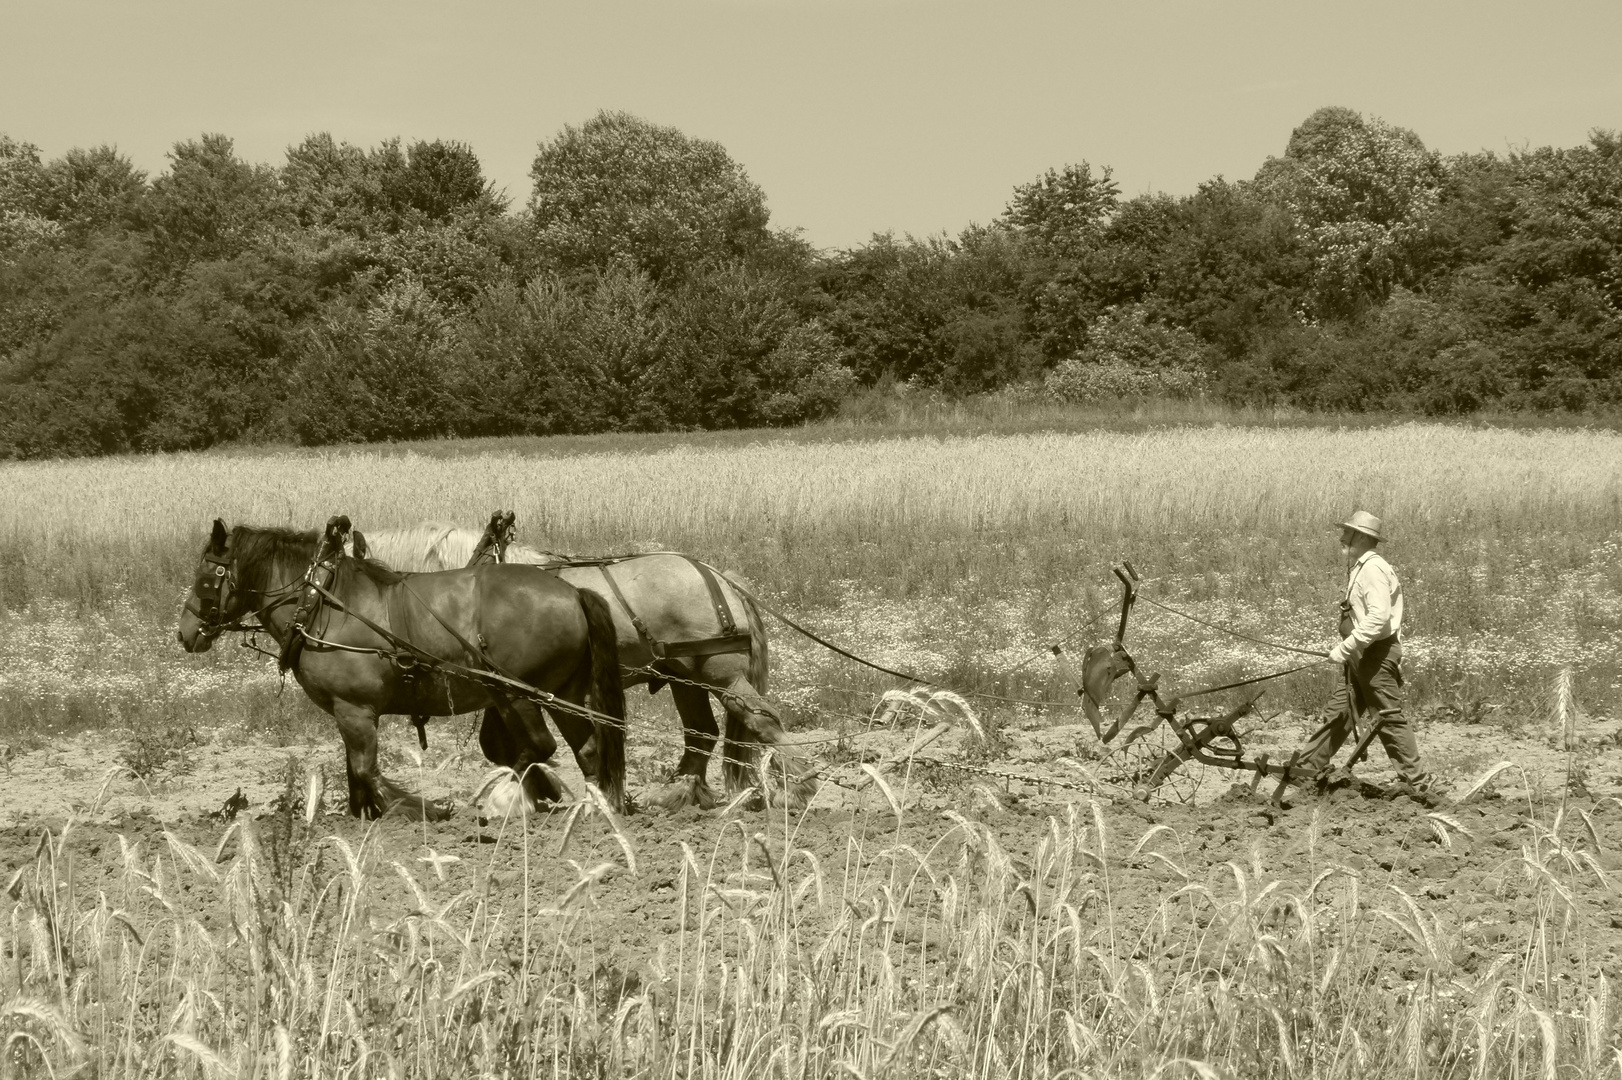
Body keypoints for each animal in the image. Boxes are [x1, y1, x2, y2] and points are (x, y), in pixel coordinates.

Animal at [179, 522, 626, 817]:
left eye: (205, 577)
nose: (184, 633)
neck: (320, 604)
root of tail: (573, 591)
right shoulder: (346, 713)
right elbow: (354, 771)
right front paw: (361, 817)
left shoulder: (355, 709)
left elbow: (367, 770)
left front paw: (415, 809)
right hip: (562, 693)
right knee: (587, 750)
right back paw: (592, 808)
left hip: (516, 695)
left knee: (539, 747)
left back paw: (502, 800)